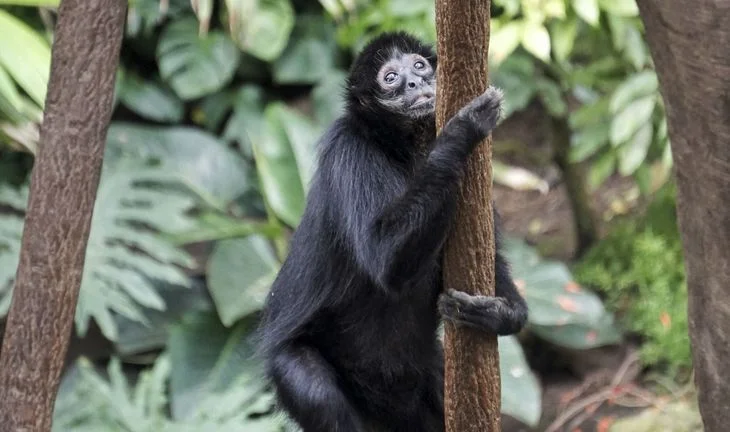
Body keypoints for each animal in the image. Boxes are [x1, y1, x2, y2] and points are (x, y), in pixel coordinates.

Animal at [257, 31, 528, 432]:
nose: (415, 82)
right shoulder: (350, 150)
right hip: (293, 363)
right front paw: (461, 131)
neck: (407, 150)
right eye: (390, 78)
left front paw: (499, 313)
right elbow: (386, 261)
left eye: (418, 65)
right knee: (316, 389)